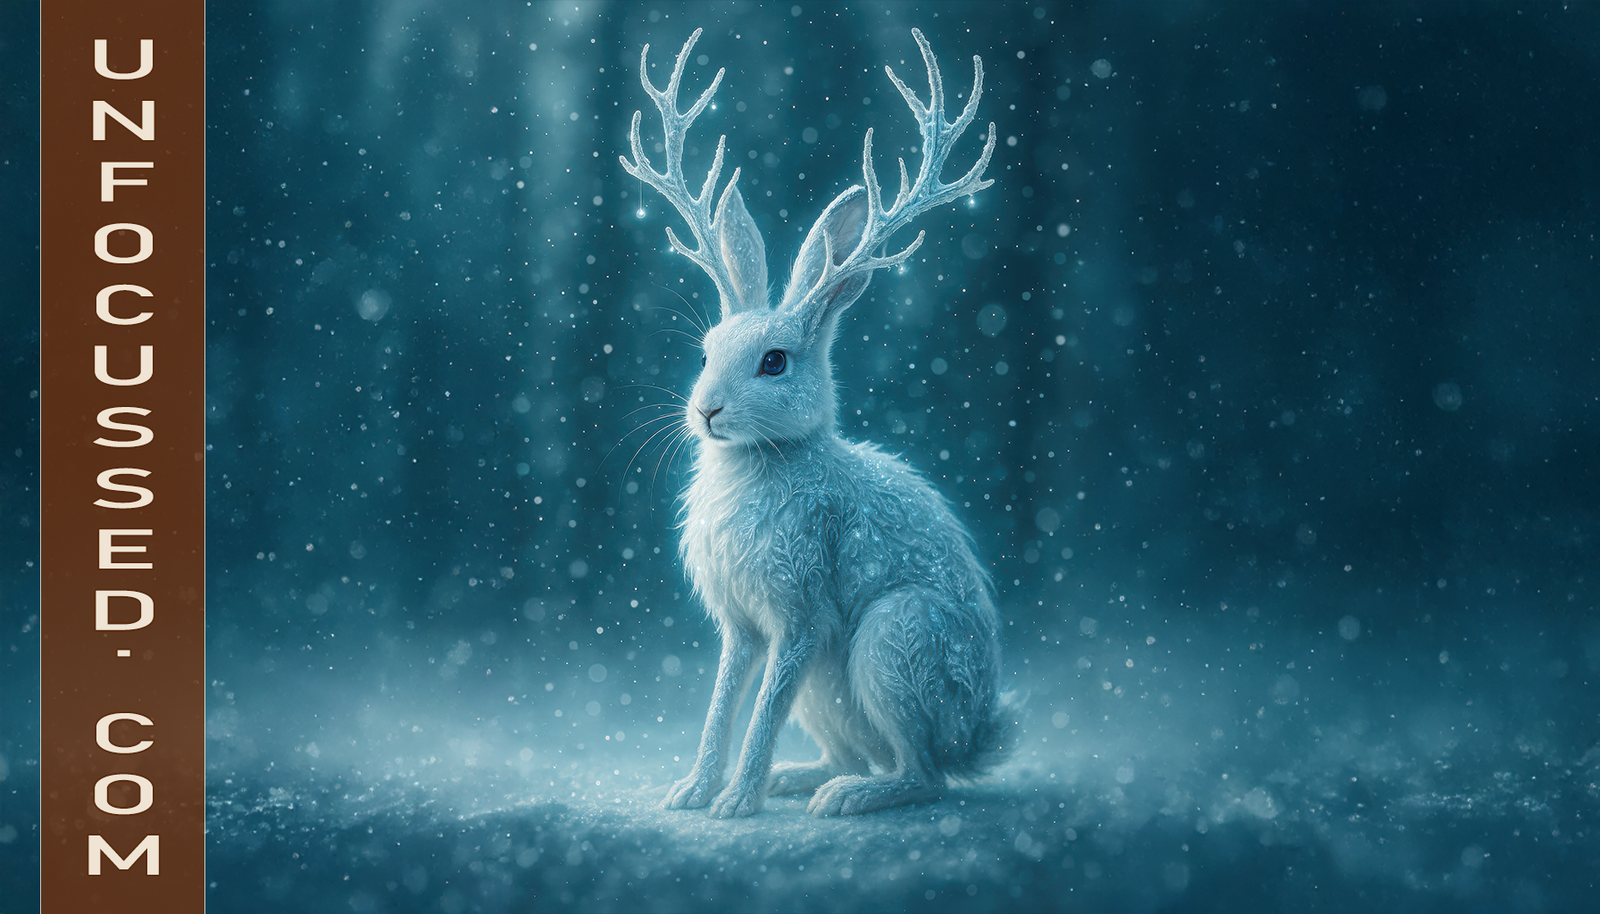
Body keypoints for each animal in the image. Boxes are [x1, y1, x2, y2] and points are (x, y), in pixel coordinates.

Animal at [620, 27, 1006, 818]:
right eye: (705, 351)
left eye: (775, 362)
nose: (705, 411)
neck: (765, 458)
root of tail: (979, 739)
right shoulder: (742, 630)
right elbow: (723, 703)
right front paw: (691, 793)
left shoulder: (800, 620)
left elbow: (761, 709)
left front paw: (734, 804)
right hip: (832, 694)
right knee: (861, 751)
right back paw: (800, 780)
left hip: (891, 642)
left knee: (922, 774)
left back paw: (845, 798)